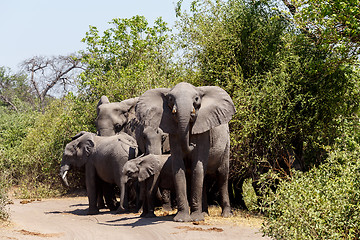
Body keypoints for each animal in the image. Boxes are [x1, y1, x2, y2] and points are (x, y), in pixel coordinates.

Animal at [136, 82, 235, 221]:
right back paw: (205, 213)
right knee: (204, 179)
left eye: (197, 99)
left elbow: (197, 166)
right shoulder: (174, 132)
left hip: (226, 144)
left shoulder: (204, 132)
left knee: (222, 176)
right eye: (170, 99)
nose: (191, 144)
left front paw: (196, 219)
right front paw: (182, 219)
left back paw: (226, 215)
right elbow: (179, 167)